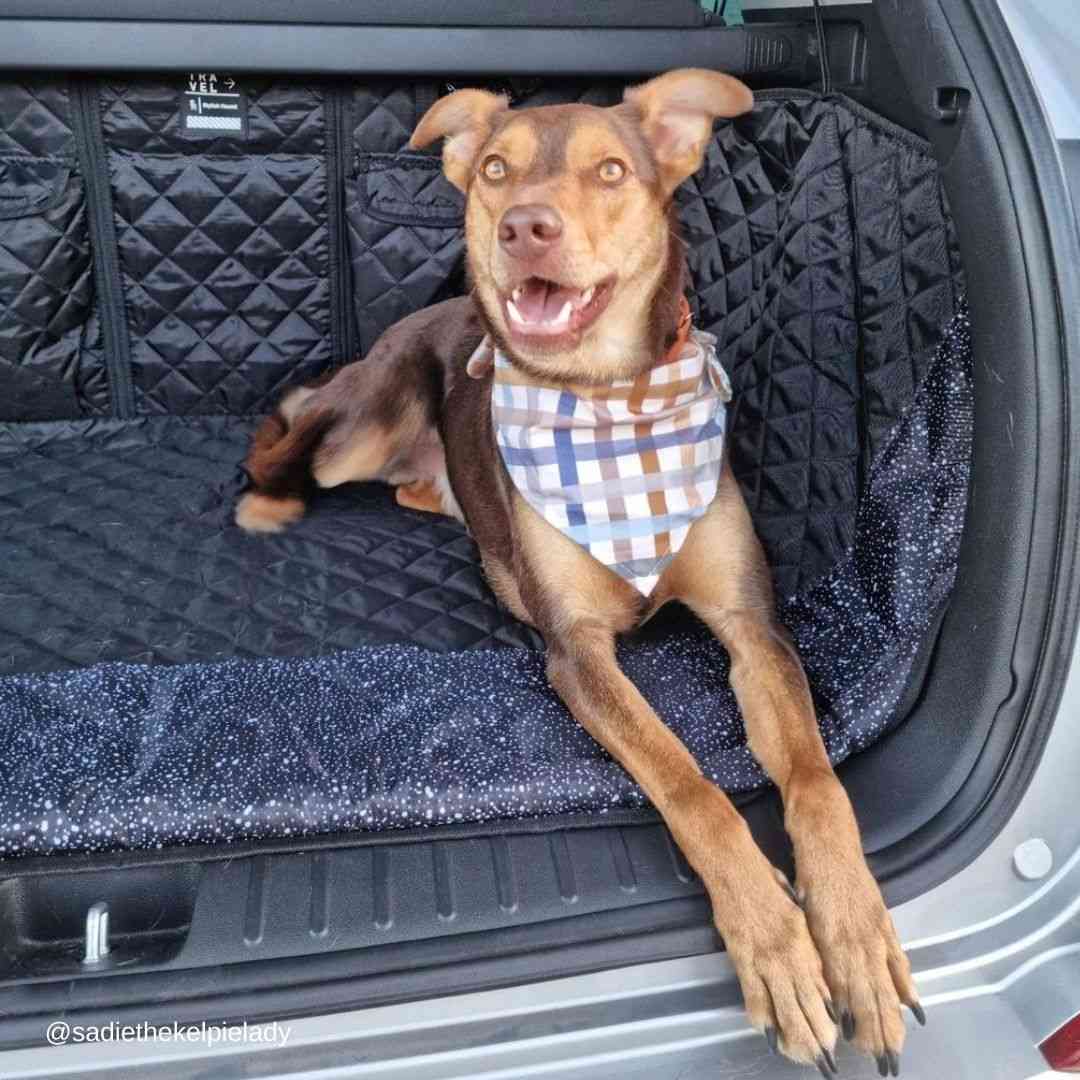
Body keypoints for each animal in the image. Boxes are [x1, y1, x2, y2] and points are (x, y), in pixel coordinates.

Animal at [234, 69, 920, 1071]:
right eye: (493, 169)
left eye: (610, 171)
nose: (525, 227)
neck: (606, 400)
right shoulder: (578, 653)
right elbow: (692, 786)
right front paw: (775, 941)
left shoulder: (753, 628)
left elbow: (816, 781)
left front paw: (855, 933)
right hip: (365, 419)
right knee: (289, 434)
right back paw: (270, 500)